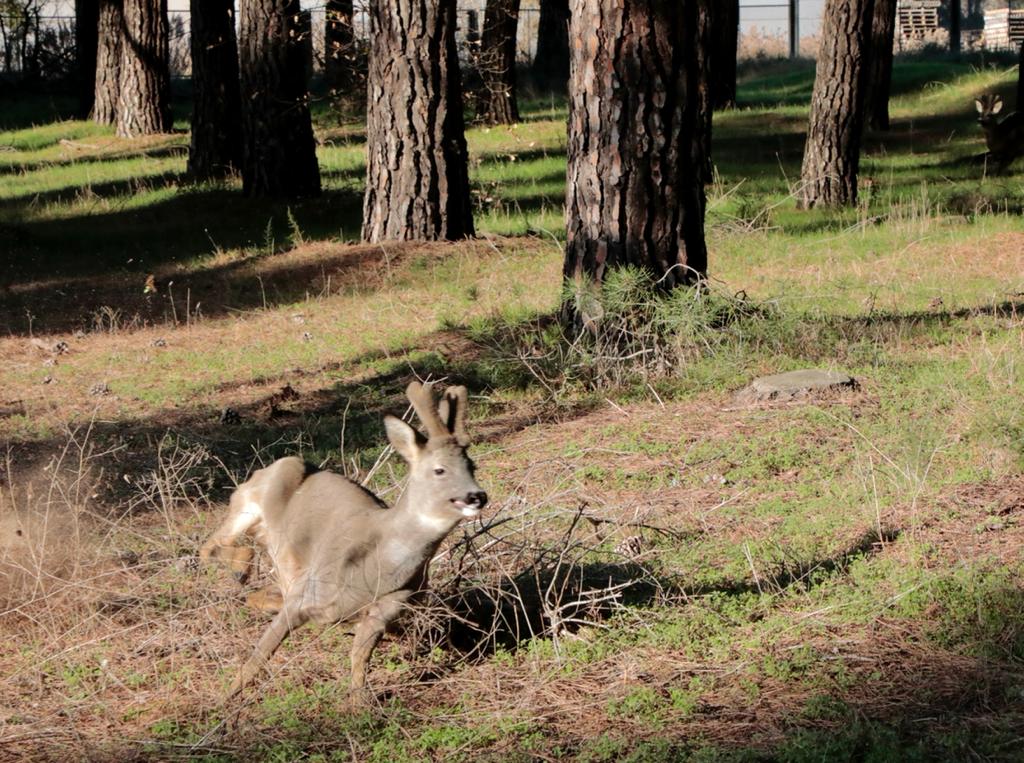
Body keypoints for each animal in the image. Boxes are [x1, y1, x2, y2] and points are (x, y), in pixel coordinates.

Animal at [201, 383, 489, 700]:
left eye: (472, 466)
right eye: (439, 469)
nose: (477, 496)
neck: (376, 569)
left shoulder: (388, 608)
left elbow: (359, 656)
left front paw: (359, 701)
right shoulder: (307, 592)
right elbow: (261, 651)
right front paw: (226, 697)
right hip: (249, 501)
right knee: (209, 546)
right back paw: (240, 568)